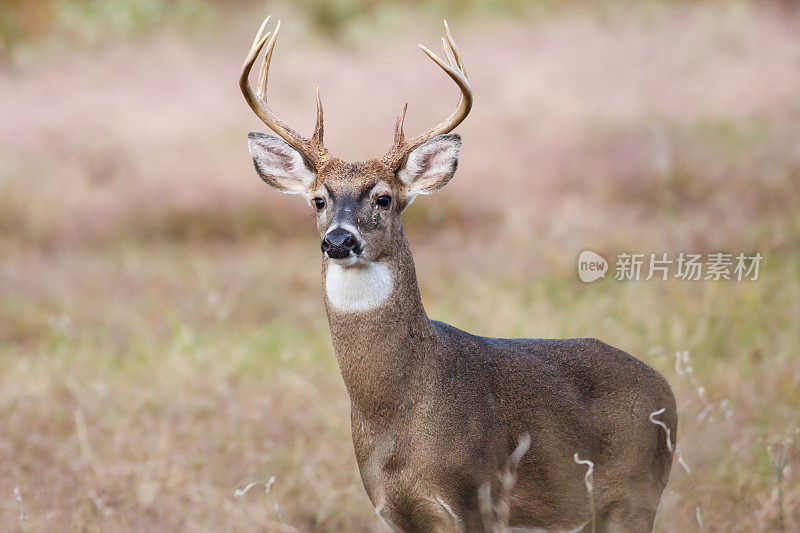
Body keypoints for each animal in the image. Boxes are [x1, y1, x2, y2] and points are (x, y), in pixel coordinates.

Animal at [238, 16, 676, 532]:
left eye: (384, 197)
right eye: (318, 200)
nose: (339, 240)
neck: (396, 414)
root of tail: (666, 390)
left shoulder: (474, 497)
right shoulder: (391, 508)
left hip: (636, 495)